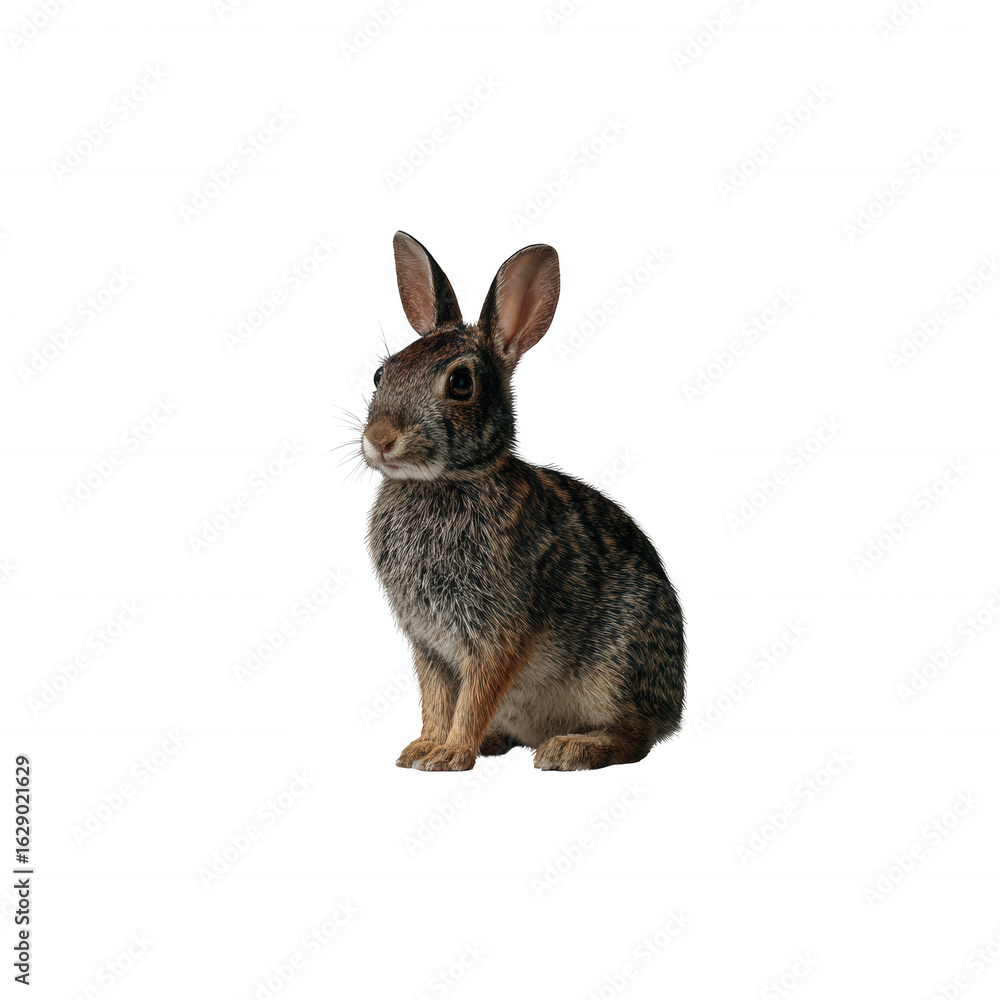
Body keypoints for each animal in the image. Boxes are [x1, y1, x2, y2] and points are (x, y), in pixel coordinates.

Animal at [361, 231, 685, 770]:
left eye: (461, 384)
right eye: (380, 375)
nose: (380, 440)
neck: (446, 480)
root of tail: (673, 708)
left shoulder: (498, 633)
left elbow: (473, 696)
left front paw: (450, 756)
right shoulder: (428, 645)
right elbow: (436, 698)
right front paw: (422, 749)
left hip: (616, 671)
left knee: (635, 738)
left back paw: (571, 748)